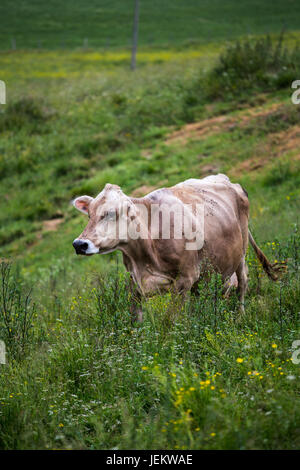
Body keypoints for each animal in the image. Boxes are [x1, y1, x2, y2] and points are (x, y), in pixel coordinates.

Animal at [72, 174, 284, 322]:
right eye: (89, 214)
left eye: (111, 213)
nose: (79, 244)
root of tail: (229, 181)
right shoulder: (134, 282)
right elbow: (135, 320)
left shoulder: (184, 280)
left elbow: (170, 321)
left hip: (240, 253)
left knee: (242, 283)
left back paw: (240, 316)